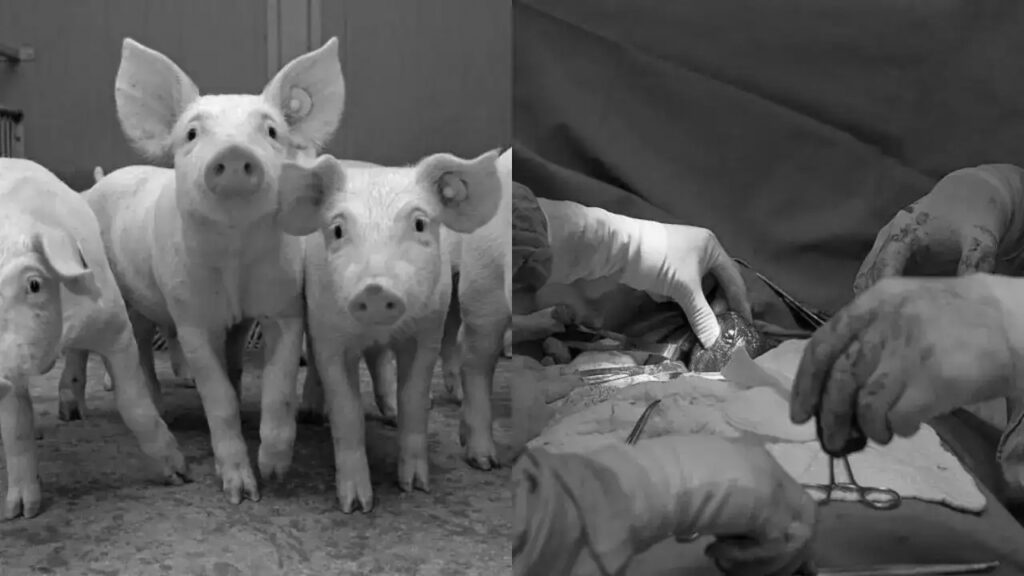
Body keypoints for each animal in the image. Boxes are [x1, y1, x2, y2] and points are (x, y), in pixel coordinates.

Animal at [0, 158, 188, 519]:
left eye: (34, 284)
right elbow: (16, 429)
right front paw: (21, 512)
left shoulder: (115, 325)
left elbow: (135, 404)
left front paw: (180, 475)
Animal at [58, 37, 346, 504]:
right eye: (192, 134)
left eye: (271, 132)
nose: (233, 153)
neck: (233, 259)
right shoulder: (190, 313)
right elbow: (219, 398)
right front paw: (240, 493)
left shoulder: (282, 305)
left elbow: (276, 384)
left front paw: (275, 474)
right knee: (88, 349)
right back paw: (72, 412)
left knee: (141, 343)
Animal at [279, 148, 508, 512]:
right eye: (338, 229)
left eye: (419, 223)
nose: (374, 290)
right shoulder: (330, 333)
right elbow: (347, 412)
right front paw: (356, 506)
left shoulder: (427, 332)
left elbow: (414, 401)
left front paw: (415, 487)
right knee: (317, 358)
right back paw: (312, 415)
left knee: (379, 360)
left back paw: (393, 415)